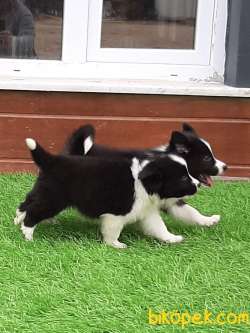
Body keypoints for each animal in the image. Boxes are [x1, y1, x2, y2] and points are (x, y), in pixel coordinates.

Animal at [15, 137, 199, 246]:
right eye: (184, 178)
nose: (197, 184)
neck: (144, 183)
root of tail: (52, 160)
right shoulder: (116, 215)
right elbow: (113, 231)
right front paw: (115, 245)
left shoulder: (147, 212)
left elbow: (159, 227)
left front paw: (172, 238)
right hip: (54, 199)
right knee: (34, 212)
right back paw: (28, 234)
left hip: (43, 191)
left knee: (27, 203)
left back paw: (18, 220)